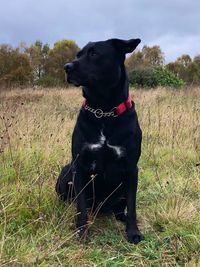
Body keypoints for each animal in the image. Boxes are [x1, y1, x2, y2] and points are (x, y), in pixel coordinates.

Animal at [56, 38, 143, 245]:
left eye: (94, 54)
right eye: (79, 54)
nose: (66, 67)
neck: (103, 111)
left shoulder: (131, 168)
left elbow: (132, 205)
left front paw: (133, 232)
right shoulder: (79, 166)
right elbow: (80, 207)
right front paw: (81, 232)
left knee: (121, 207)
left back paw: (121, 216)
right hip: (66, 170)